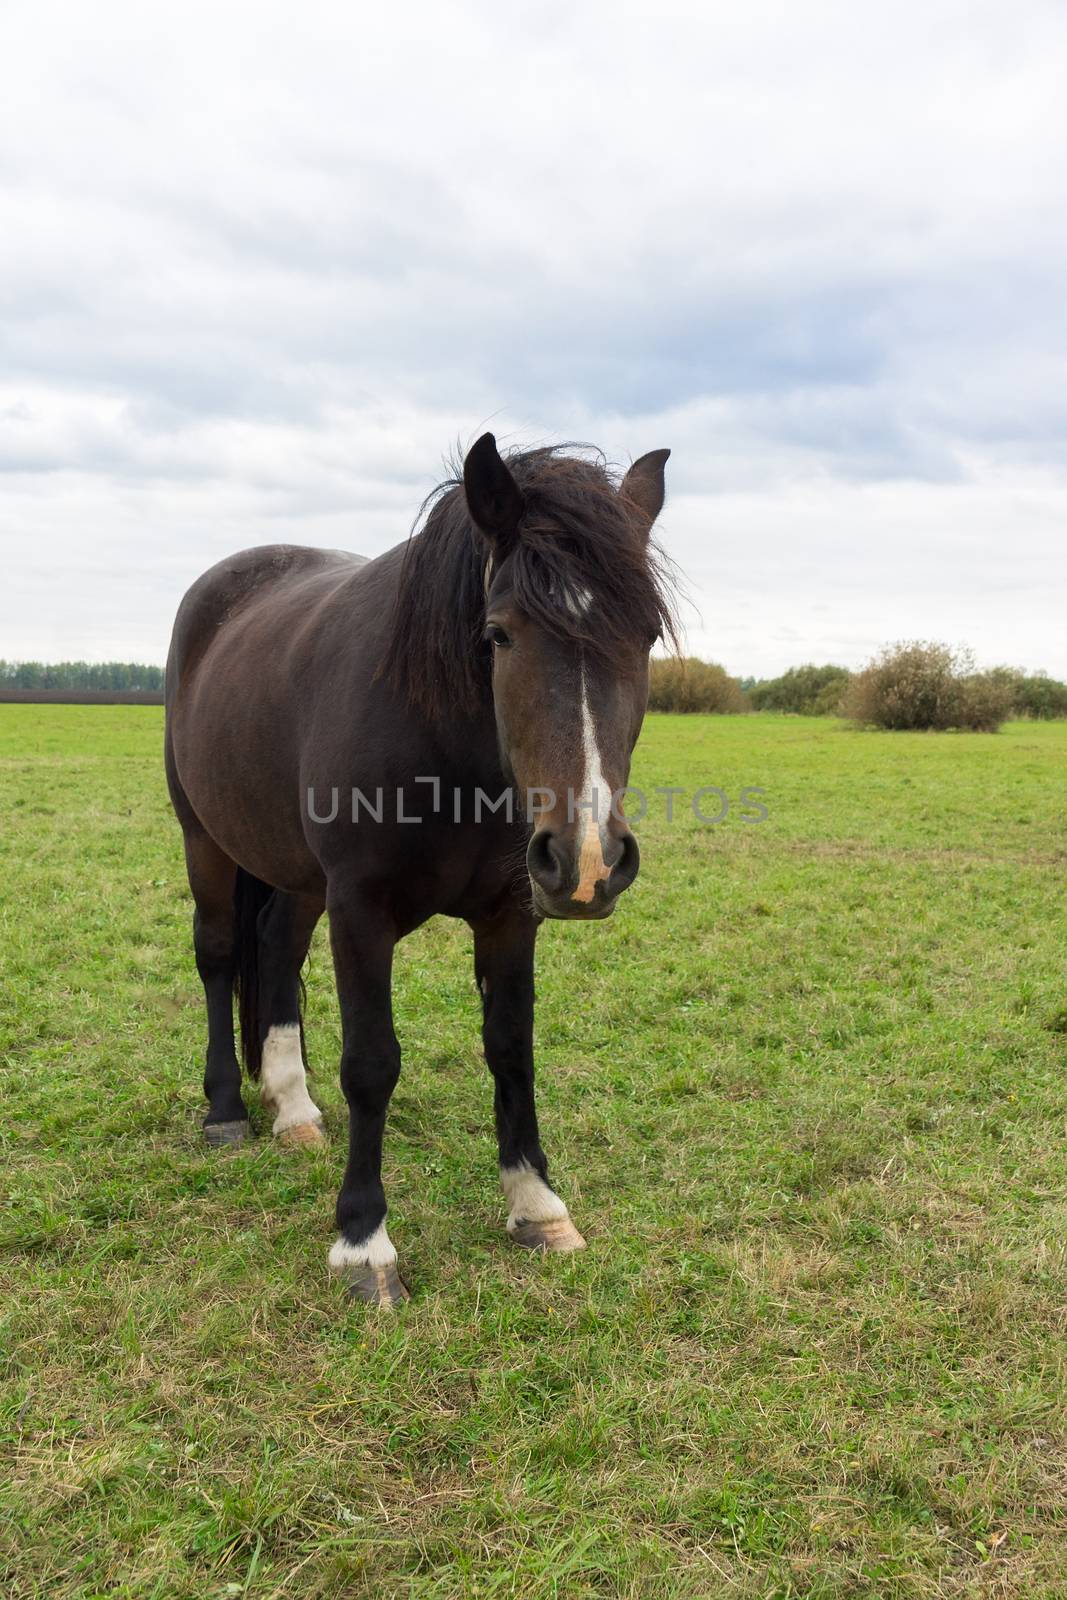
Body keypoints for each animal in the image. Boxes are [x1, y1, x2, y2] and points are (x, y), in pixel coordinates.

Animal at [163, 435, 671, 1299]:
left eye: (645, 637)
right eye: (498, 633)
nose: (588, 859)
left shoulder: (510, 912)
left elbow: (510, 1047)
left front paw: (536, 1206)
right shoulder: (361, 910)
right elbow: (371, 1064)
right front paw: (363, 1243)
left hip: (298, 878)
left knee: (276, 948)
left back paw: (292, 1108)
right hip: (205, 839)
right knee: (221, 952)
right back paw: (226, 1109)